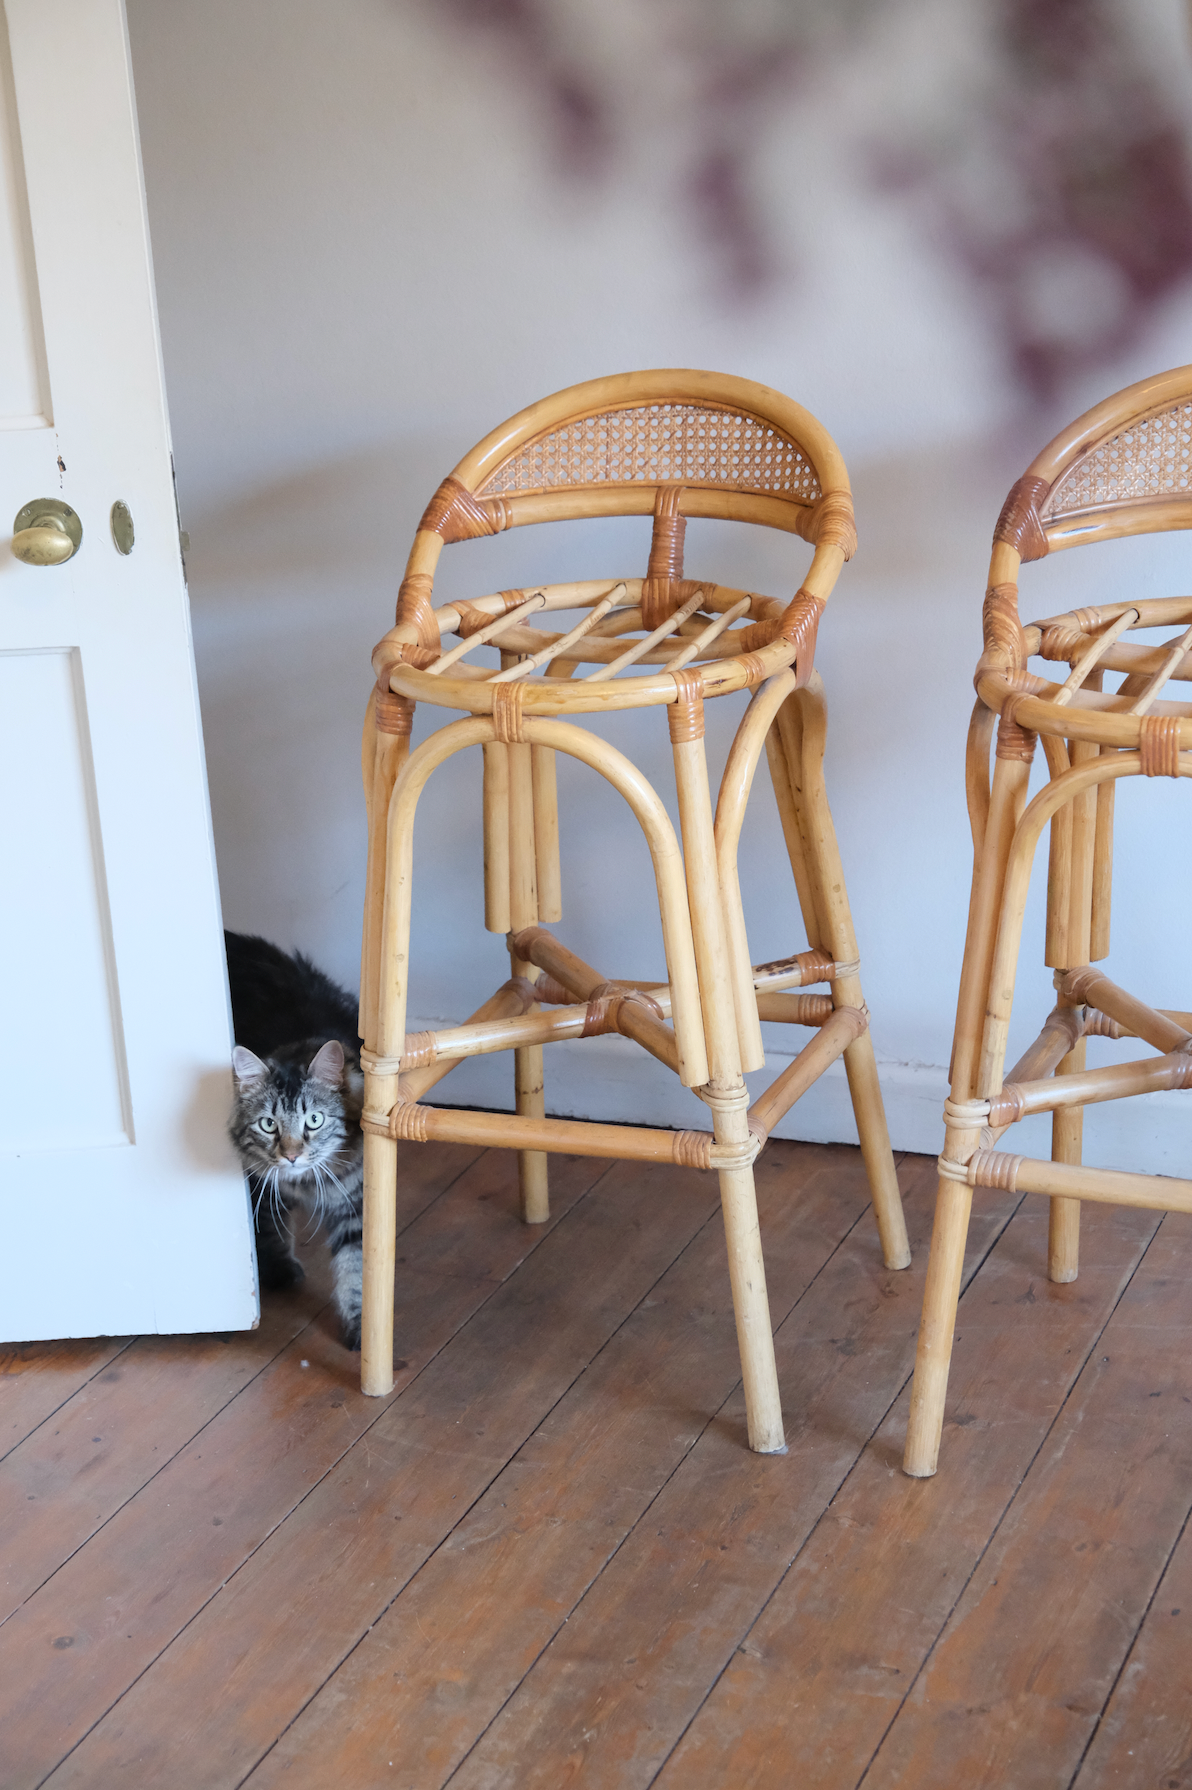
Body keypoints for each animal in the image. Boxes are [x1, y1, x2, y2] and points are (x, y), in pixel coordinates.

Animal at [225, 937, 365, 1346]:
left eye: (314, 1120)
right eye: (269, 1124)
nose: (291, 1156)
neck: (304, 1184)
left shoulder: (355, 1200)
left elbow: (356, 1268)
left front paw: (360, 1326)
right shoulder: (257, 1183)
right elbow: (269, 1223)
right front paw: (280, 1269)